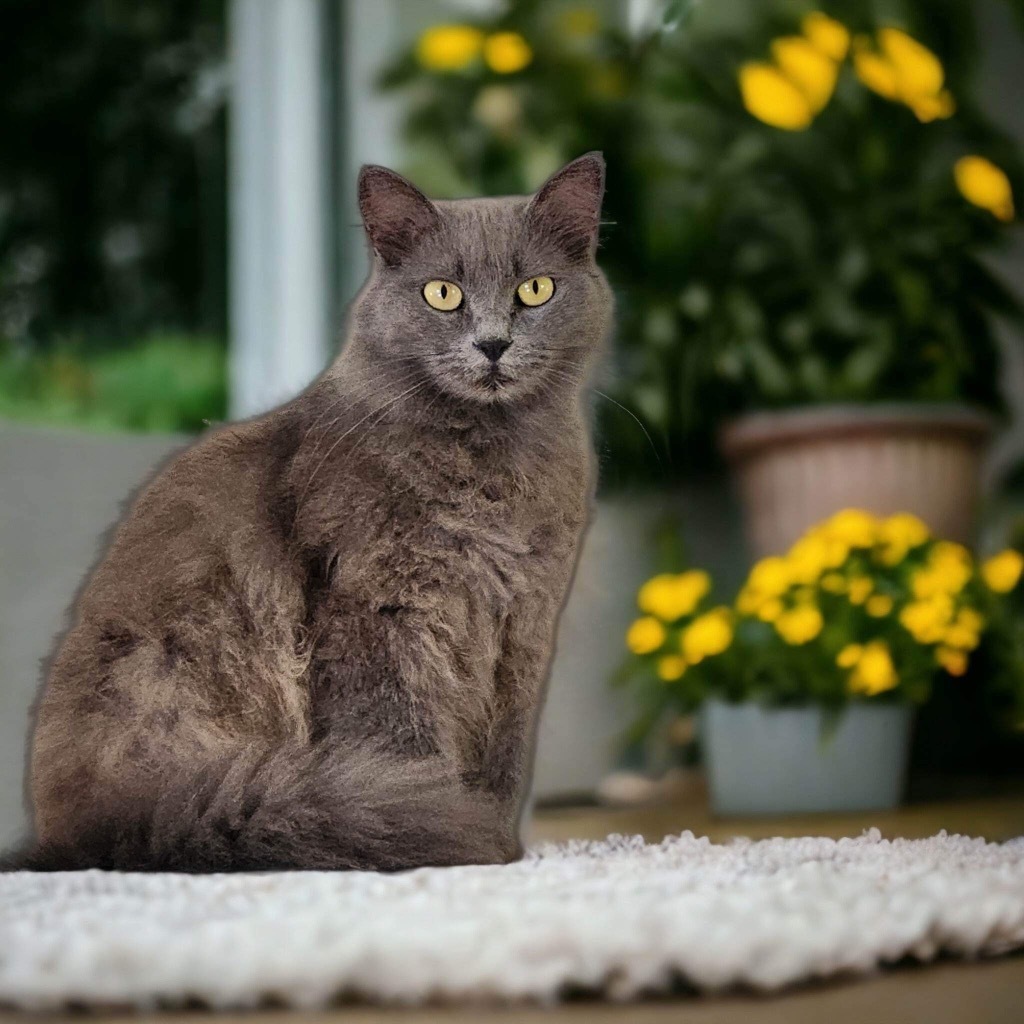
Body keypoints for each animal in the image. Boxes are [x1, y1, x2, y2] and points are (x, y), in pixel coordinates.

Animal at [12, 151, 610, 872]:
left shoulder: (522, 628)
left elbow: (505, 756)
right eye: (442, 294)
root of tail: (77, 828)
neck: (486, 466)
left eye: (535, 290)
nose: (492, 344)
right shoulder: (378, 612)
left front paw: (497, 845)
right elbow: (402, 740)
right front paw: (445, 831)